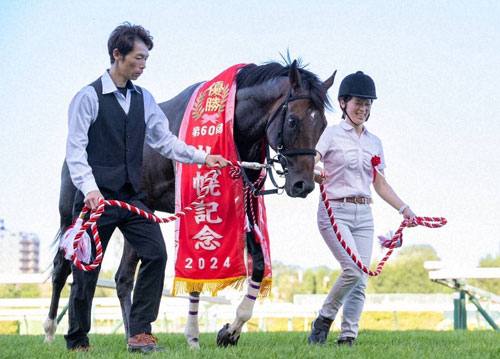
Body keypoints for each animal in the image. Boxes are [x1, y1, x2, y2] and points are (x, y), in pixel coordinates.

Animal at [45, 61, 336, 348]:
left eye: (322, 125)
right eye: (293, 120)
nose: (303, 185)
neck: (231, 130)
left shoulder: (244, 204)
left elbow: (259, 264)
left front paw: (230, 331)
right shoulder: (192, 207)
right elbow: (196, 271)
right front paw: (193, 335)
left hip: (138, 213)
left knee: (123, 278)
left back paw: (132, 337)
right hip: (75, 213)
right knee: (63, 267)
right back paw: (50, 331)